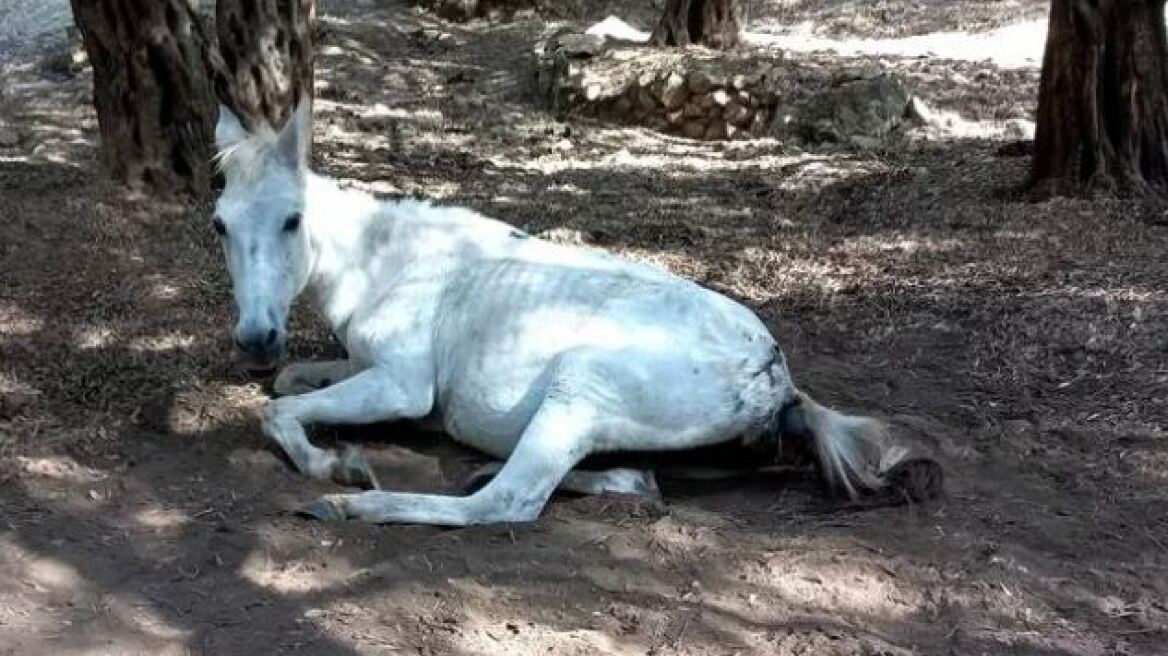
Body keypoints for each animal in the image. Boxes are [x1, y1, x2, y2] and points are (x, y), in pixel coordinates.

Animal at [210, 99, 939, 522]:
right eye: (220, 224)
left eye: (292, 219)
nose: (256, 337)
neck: (387, 262)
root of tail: (778, 382)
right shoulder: (361, 366)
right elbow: (290, 384)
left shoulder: (403, 386)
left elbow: (278, 410)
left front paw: (336, 464)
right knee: (637, 482)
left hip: (575, 386)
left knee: (507, 502)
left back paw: (348, 503)